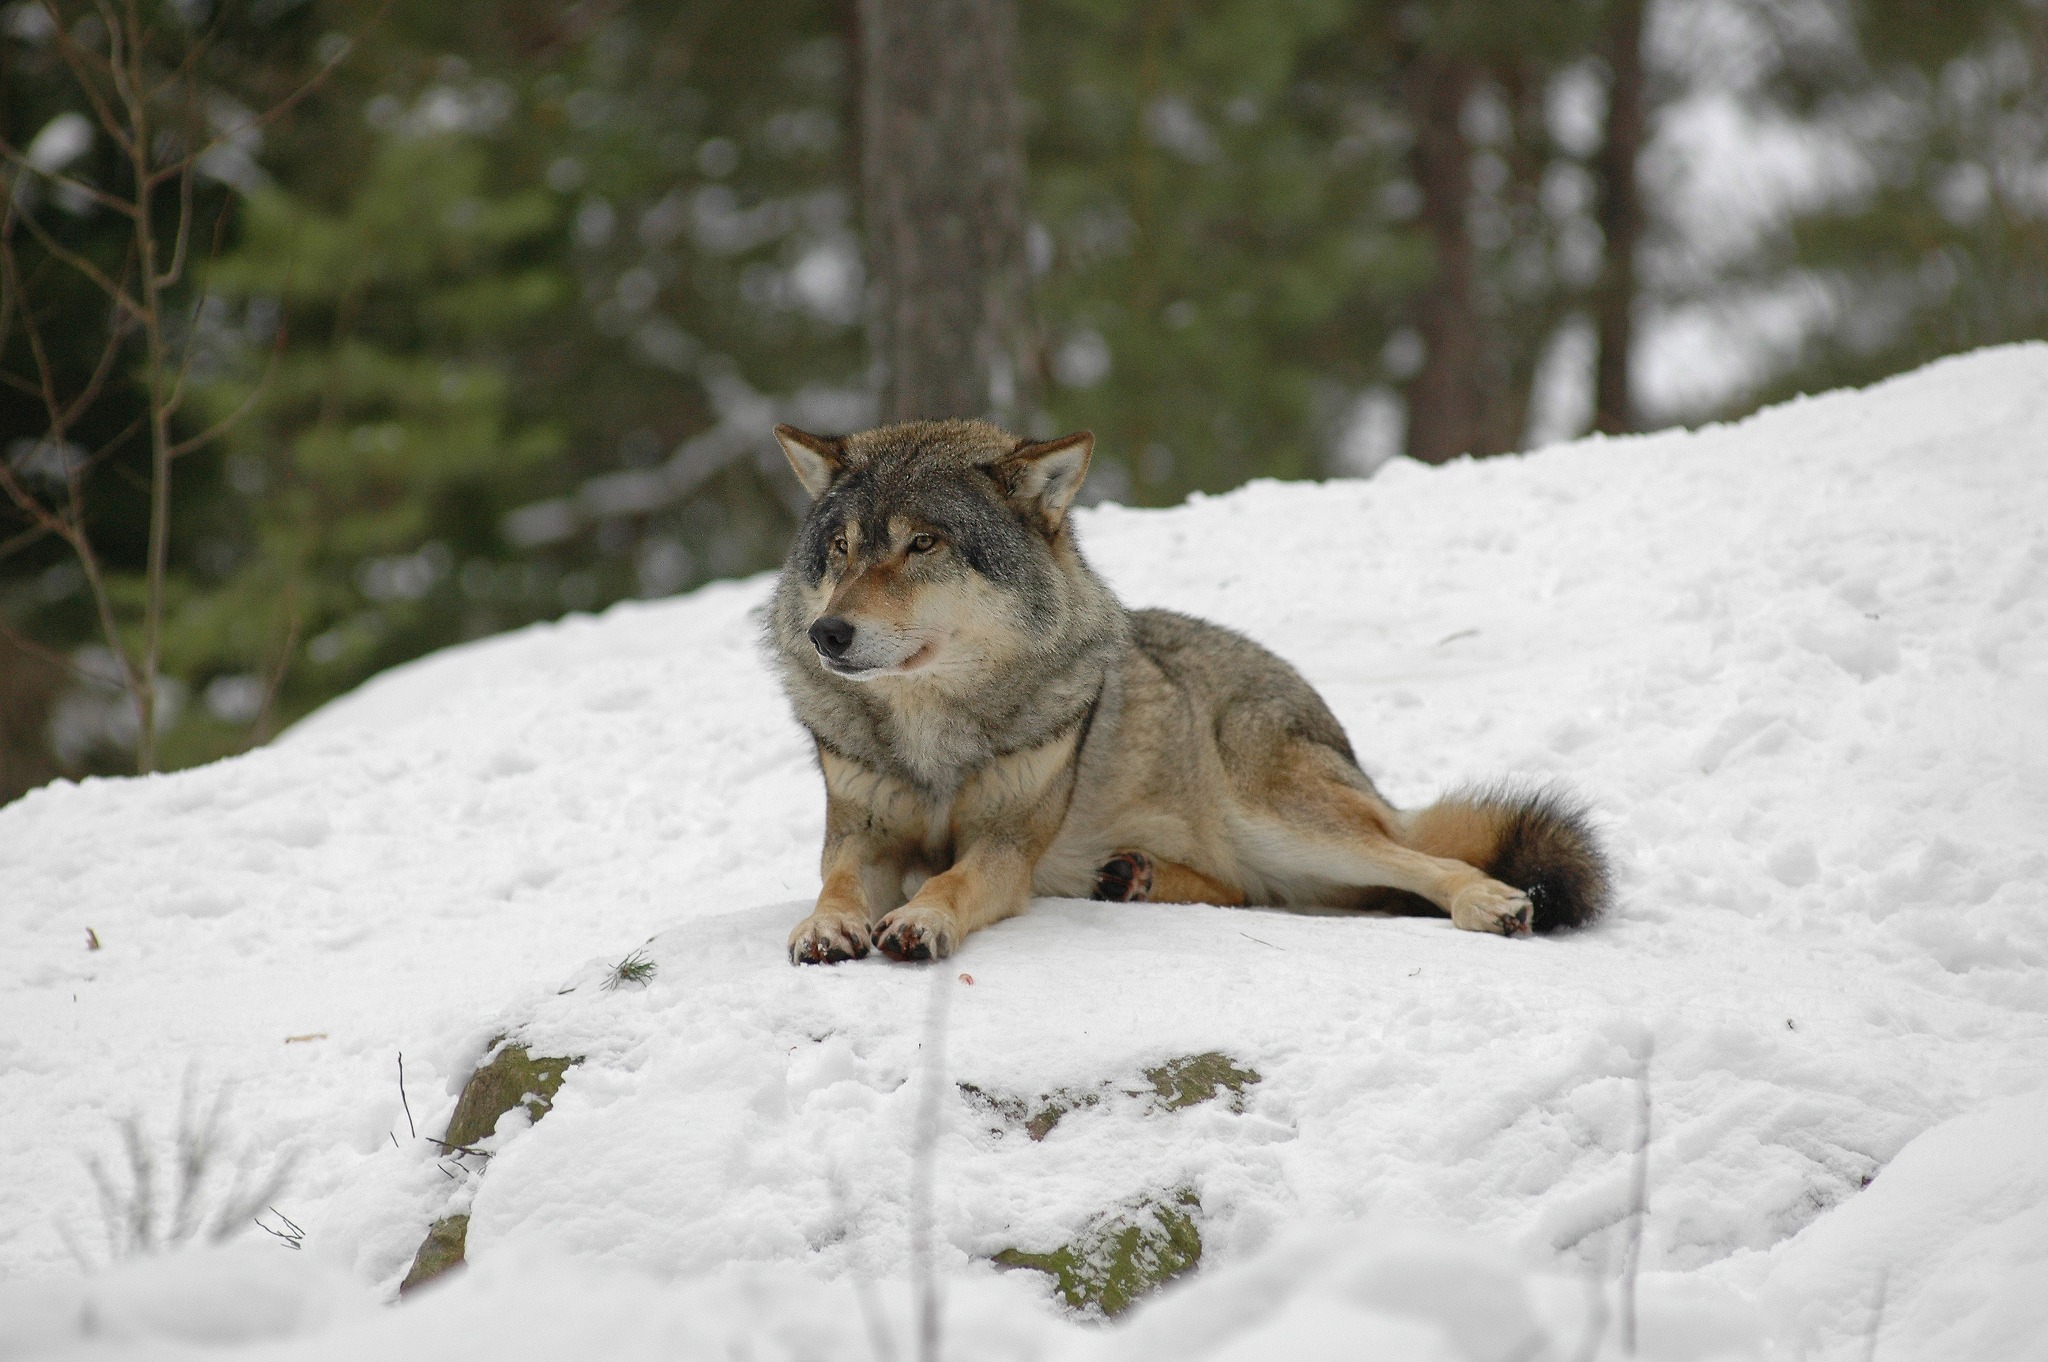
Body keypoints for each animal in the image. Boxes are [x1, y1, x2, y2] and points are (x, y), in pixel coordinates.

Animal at [761, 419, 1605, 962]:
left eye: (923, 544)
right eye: (841, 549)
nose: (828, 634)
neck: (932, 732)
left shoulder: (1006, 847)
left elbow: (954, 879)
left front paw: (918, 920)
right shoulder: (861, 836)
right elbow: (836, 886)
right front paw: (825, 929)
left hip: (1287, 824)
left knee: (1422, 863)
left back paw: (1492, 904)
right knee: (1252, 892)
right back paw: (1130, 878)